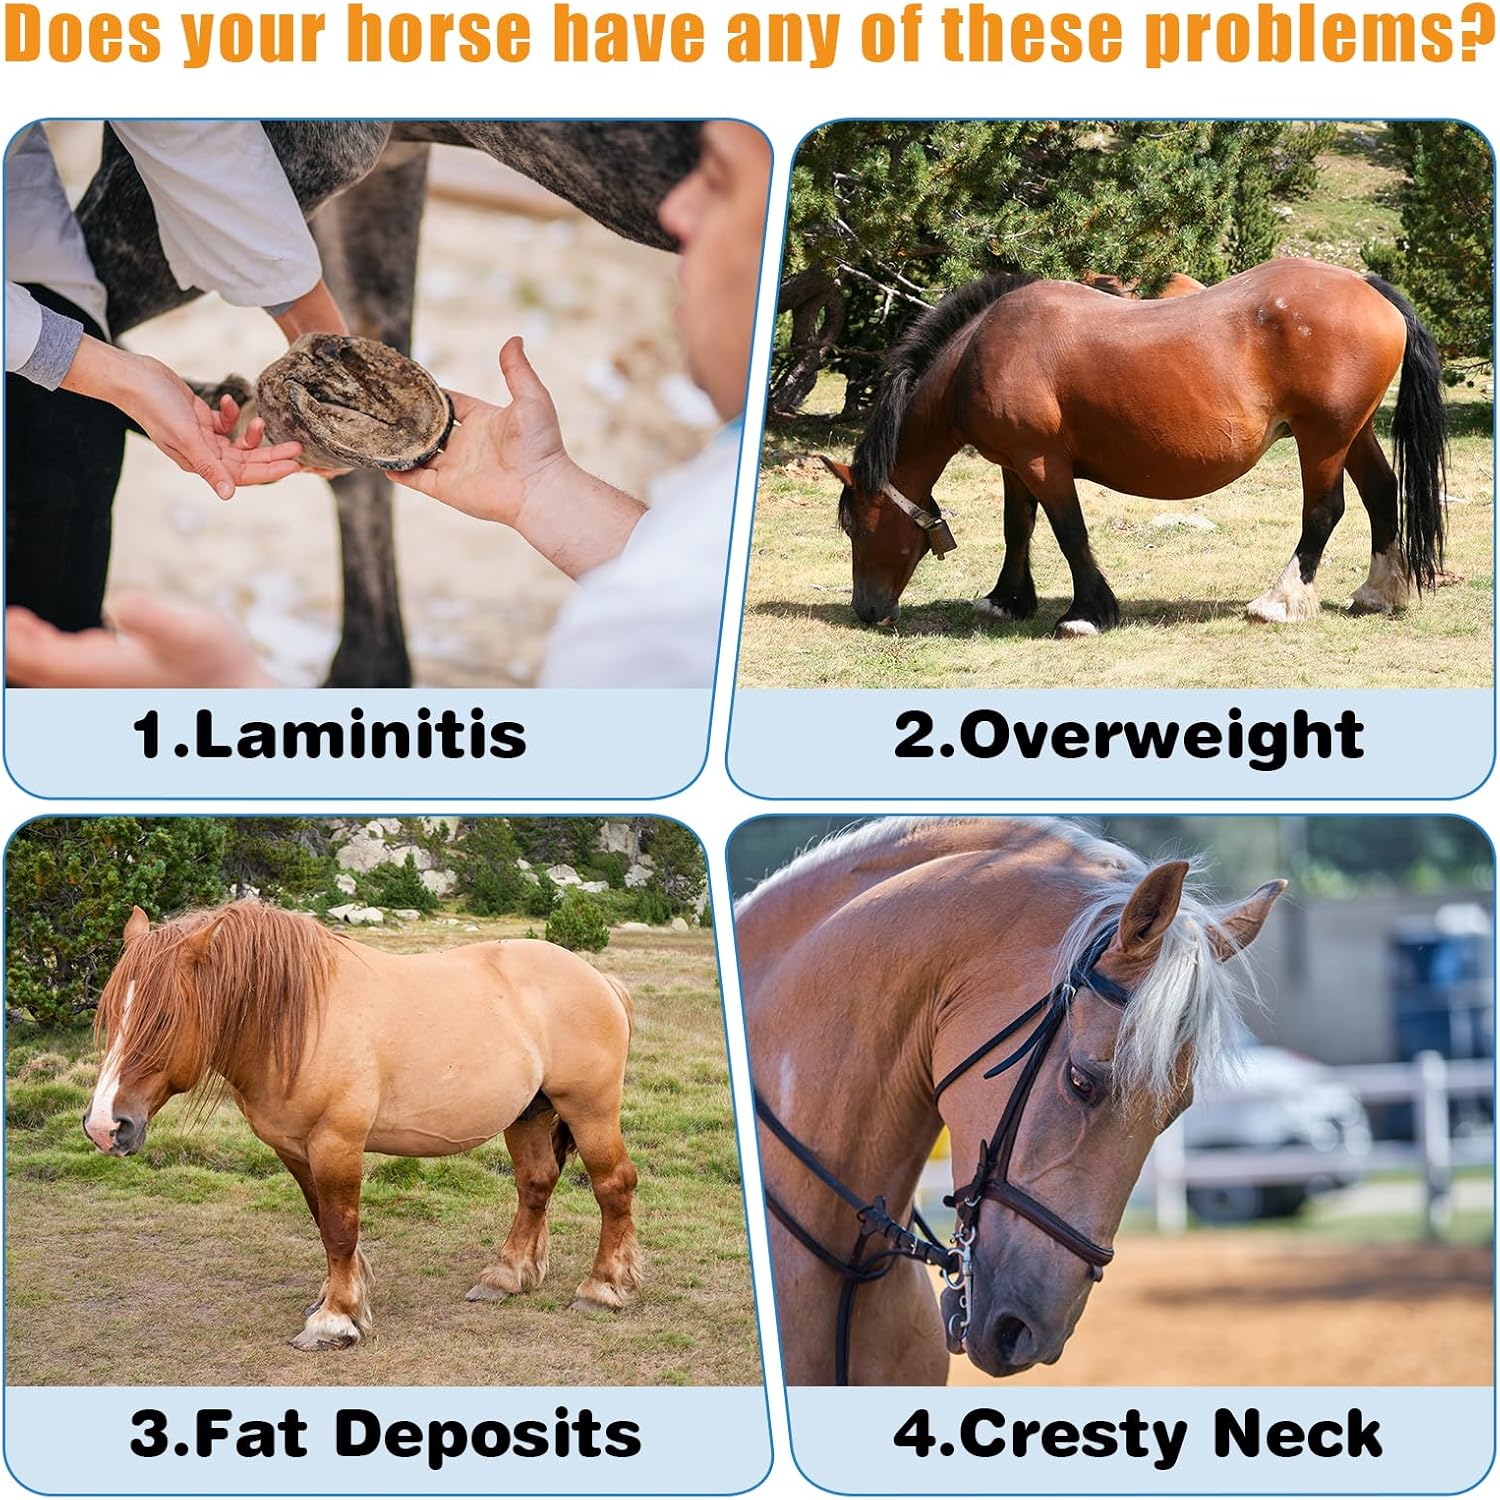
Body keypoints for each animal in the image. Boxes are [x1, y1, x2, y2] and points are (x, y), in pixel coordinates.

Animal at [82, 900, 642, 1351]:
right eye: (111, 1015)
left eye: (164, 1020)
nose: (105, 1126)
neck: (301, 1019)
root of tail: (600, 980)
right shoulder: (294, 1149)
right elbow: (322, 1223)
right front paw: (333, 1299)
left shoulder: (337, 1145)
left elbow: (340, 1228)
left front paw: (334, 1321)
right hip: (529, 1115)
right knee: (535, 1185)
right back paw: (506, 1277)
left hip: (589, 1110)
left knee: (613, 1186)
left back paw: (603, 1288)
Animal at [818, 257, 1447, 637]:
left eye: (858, 528)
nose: (867, 611)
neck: (981, 351)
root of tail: (1365, 285)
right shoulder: (1014, 466)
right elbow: (1017, 529)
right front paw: (1007, 599)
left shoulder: (1042, 463)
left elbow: (1069, 532)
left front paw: (1086, 613)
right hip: (1353, 432)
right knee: (1381, 492)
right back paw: (1379, 593)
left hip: (1322, 438)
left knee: (1324, 510)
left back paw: (1280, 599)